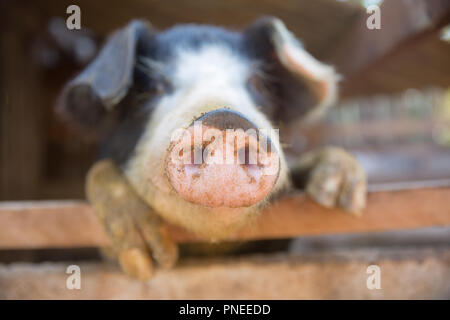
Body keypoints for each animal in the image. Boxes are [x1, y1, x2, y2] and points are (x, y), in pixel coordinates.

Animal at [57, 16, 366, 278]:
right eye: (152, 88)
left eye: (259, 85)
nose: (226, 117)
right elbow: (98, 171)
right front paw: (145, 262)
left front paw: (340, 193)